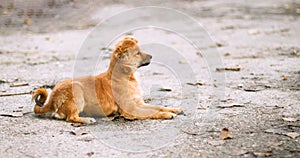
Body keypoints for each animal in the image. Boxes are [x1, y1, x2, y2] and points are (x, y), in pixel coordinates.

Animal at [32, 36, 183, 124]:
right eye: (138, 53)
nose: (152, 56)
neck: (127, 77)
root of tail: (52, 98)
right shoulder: (130, 109)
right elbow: (153, 113)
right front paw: (167, 114)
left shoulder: (139, 103)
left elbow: (157, 107)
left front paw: (173, 109)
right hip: (77, 91)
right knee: (71, 118)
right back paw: (87, 120)